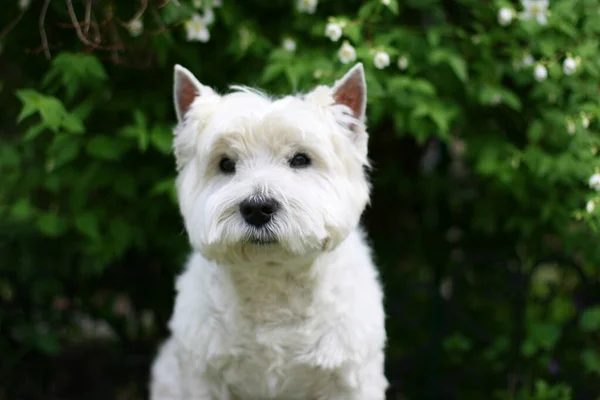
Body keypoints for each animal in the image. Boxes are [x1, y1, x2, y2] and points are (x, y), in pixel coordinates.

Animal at [150, 63, 390, 400]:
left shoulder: (349, 376)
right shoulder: (206, 376)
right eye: (226, 163)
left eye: (301, 159)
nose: (257, 208)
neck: (273, 281)